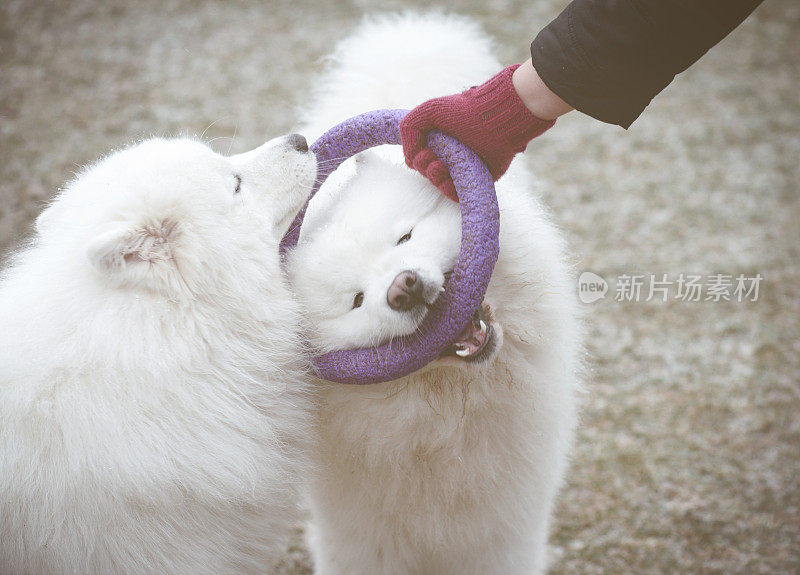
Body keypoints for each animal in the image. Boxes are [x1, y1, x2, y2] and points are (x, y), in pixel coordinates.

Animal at [286, 12, 580, 575]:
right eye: (356, 301)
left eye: (405, 237)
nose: (403, 288)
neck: (448, 414)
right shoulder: (364, 540)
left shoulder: (504, 534)